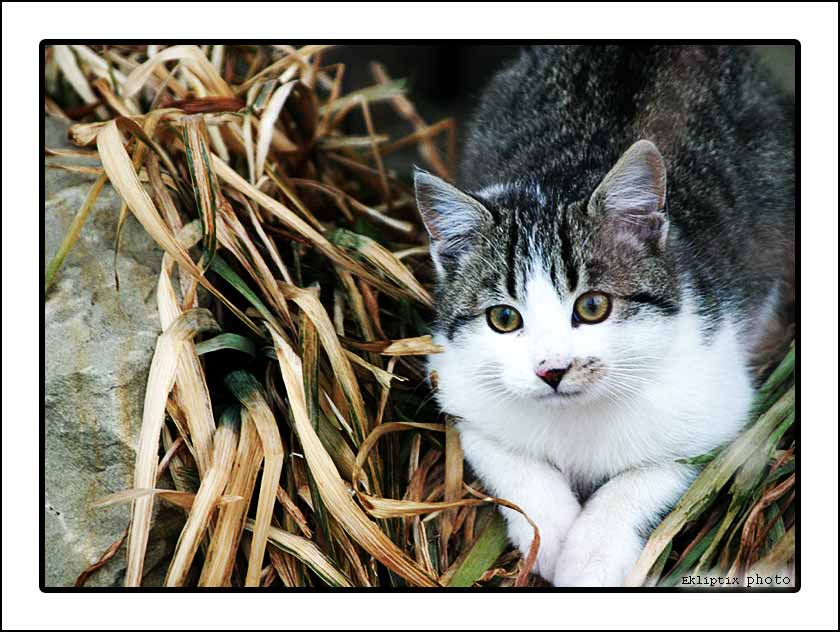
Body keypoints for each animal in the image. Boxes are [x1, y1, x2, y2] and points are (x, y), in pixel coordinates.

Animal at [414, 45, 796, 588]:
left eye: (593, 306)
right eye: (504, 318)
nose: (552, 370)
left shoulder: (719, 400)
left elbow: (657, 472)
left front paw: (591, 555)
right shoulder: (456, 382)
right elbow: (505, 455)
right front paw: (548, 532)